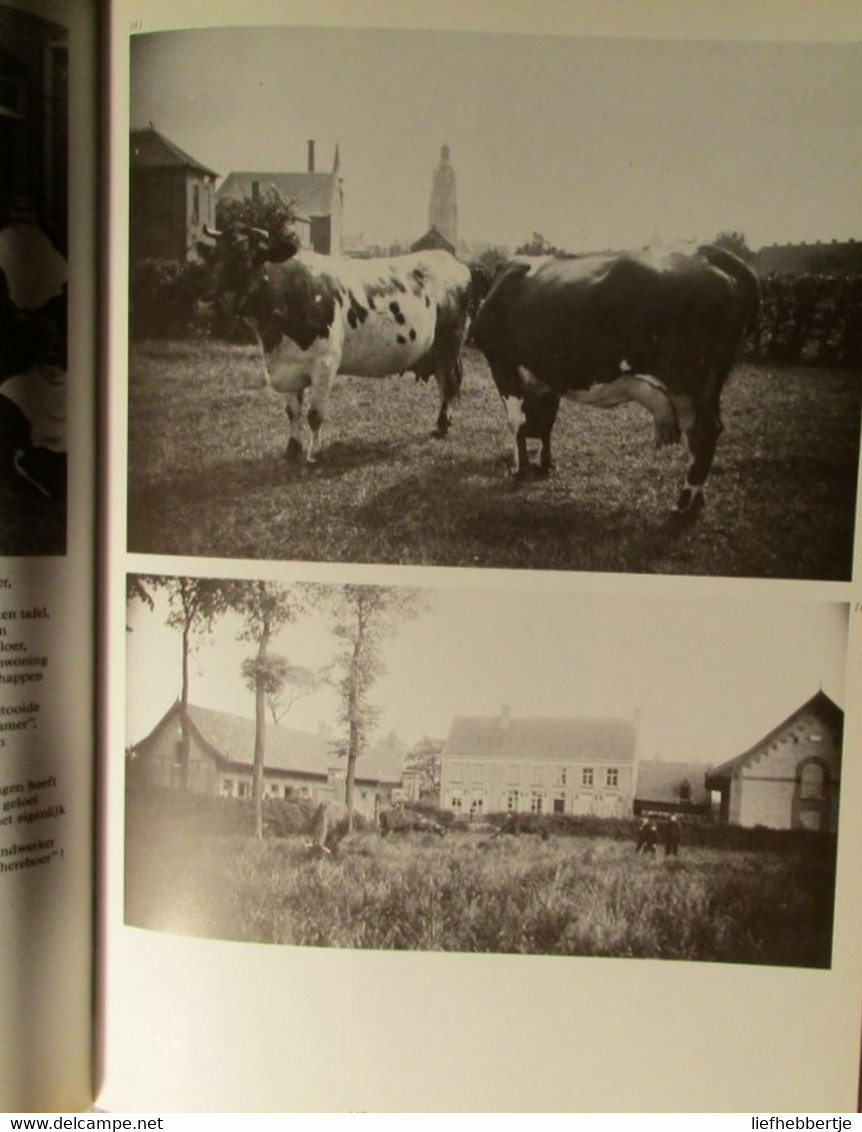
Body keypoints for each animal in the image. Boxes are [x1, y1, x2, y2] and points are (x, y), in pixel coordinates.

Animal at [200, 225, 471, 459]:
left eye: (242, 259)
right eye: (213, 256)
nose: (206, 295)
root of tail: (453, 261)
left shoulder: (325, 362)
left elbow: (314, 415)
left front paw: (315, 454)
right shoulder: (288, 365)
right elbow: (292, 413)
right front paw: (292, 450)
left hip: (450, 342)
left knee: (449, 382)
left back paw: (442, 426)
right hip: (435, 349)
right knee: (443, 383)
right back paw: (441, 424)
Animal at [471, 250, 761, 516]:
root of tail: (706, 257)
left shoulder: (503, 365)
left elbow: (517, 422)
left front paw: (520, 470)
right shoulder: (546, 378)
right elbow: (544, 424)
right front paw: (544, 466)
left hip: (688, 384)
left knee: (704, 432)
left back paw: (684, 504)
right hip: (708, 385)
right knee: (700, 435)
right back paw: (697, 501)